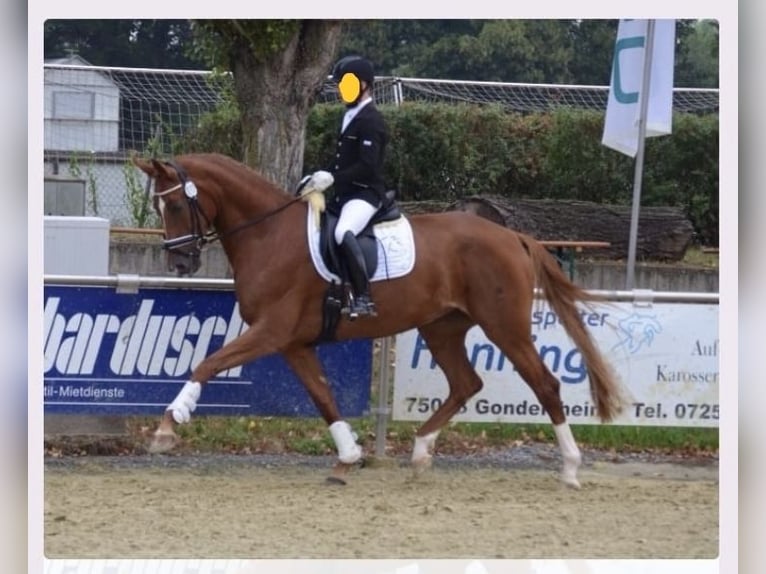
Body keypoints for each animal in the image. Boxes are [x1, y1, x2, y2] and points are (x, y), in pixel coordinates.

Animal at [133, 152, 626, 488]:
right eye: (158, 209)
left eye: (174, 207)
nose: (179, 264)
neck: (268, 234)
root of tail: (513, 236)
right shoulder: (294, 342)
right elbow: (323, 396)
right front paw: (349, 455)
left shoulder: (271, 331)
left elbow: (209, 362)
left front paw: (167, 425)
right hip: (441, 327)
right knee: (466, 383)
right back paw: (422, 451)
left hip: (504, 326)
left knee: (545, 384)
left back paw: (570, 468)